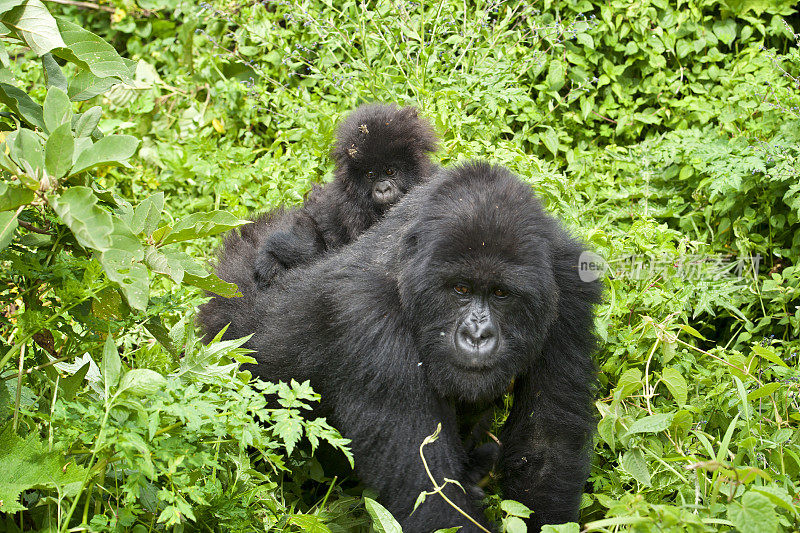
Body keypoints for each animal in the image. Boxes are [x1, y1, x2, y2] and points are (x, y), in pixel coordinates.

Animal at [253, 102, 438, 288]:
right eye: (370, 174)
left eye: (390, 171)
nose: (382, 189)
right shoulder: (350, 208)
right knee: (307, 244)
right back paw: (269, 259)